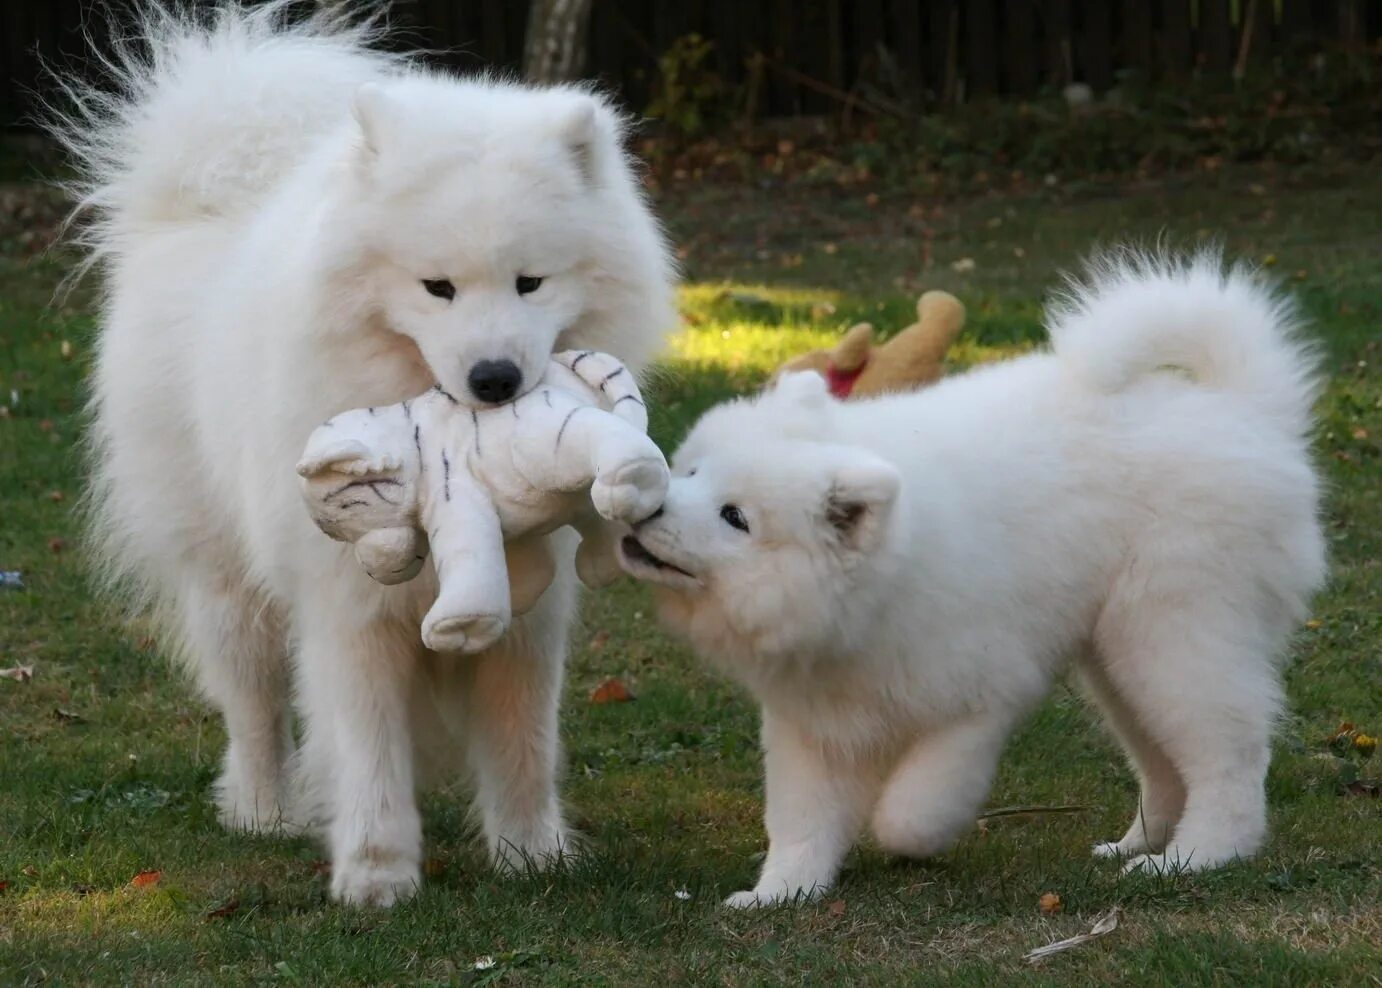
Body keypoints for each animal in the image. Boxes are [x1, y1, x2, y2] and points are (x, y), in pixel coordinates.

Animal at [52, 1, 674, 912]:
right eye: (437, 288)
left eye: (530, 282)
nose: (496, 379)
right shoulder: (350, 607)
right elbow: (367, 748)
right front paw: (376, 873)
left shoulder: (531, 610)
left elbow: (523, 738)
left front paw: (530, 854)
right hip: (229, 584)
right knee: (254, 705)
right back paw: (264, 810)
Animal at [621, 257, 1321, 912]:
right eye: (690, 471)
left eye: (734, 517)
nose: (647, 508)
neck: (875, 587)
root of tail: (1247, 412)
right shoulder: (814, 724)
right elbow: (801, 822)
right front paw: (779, 894)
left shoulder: (980, 698)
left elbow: (914, 807)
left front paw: (905, 838)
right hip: (1119, 659)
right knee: (1163, 764)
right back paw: (1136, 845)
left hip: (1175, 632)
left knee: (1229, 757)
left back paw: (1196, 857)